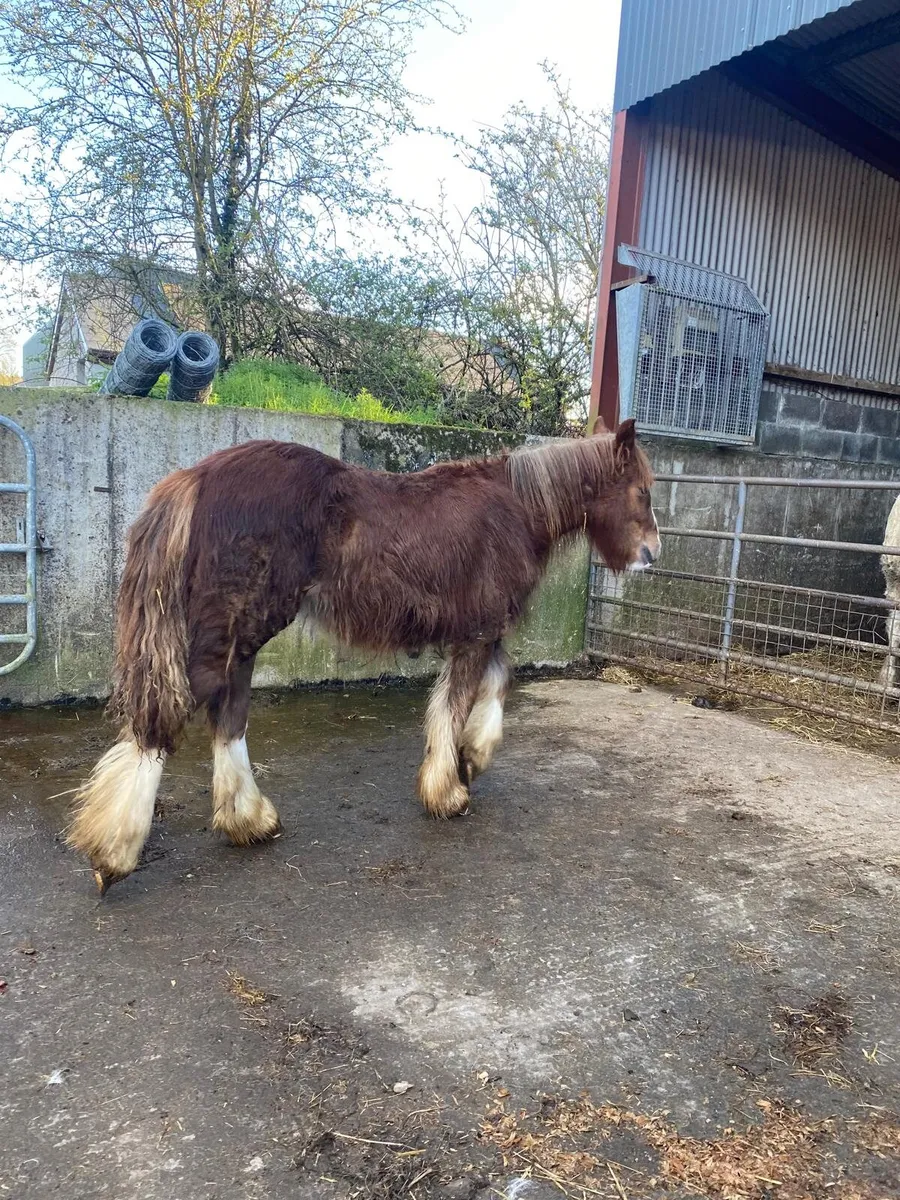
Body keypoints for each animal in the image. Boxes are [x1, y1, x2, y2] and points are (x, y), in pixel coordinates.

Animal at [67, 418, 660, 893]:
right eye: (642, 491)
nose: (652, 554)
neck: (516, 507)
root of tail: (193, 478)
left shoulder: (482, 633)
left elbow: (493, 687)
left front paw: (471, 757)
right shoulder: (478, 632)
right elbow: (459, 701)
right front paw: (448, 790)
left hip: (241, 638)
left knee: (226, 715)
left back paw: (249, 820)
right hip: (238, 631)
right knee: (170, 717)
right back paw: (115, 852)